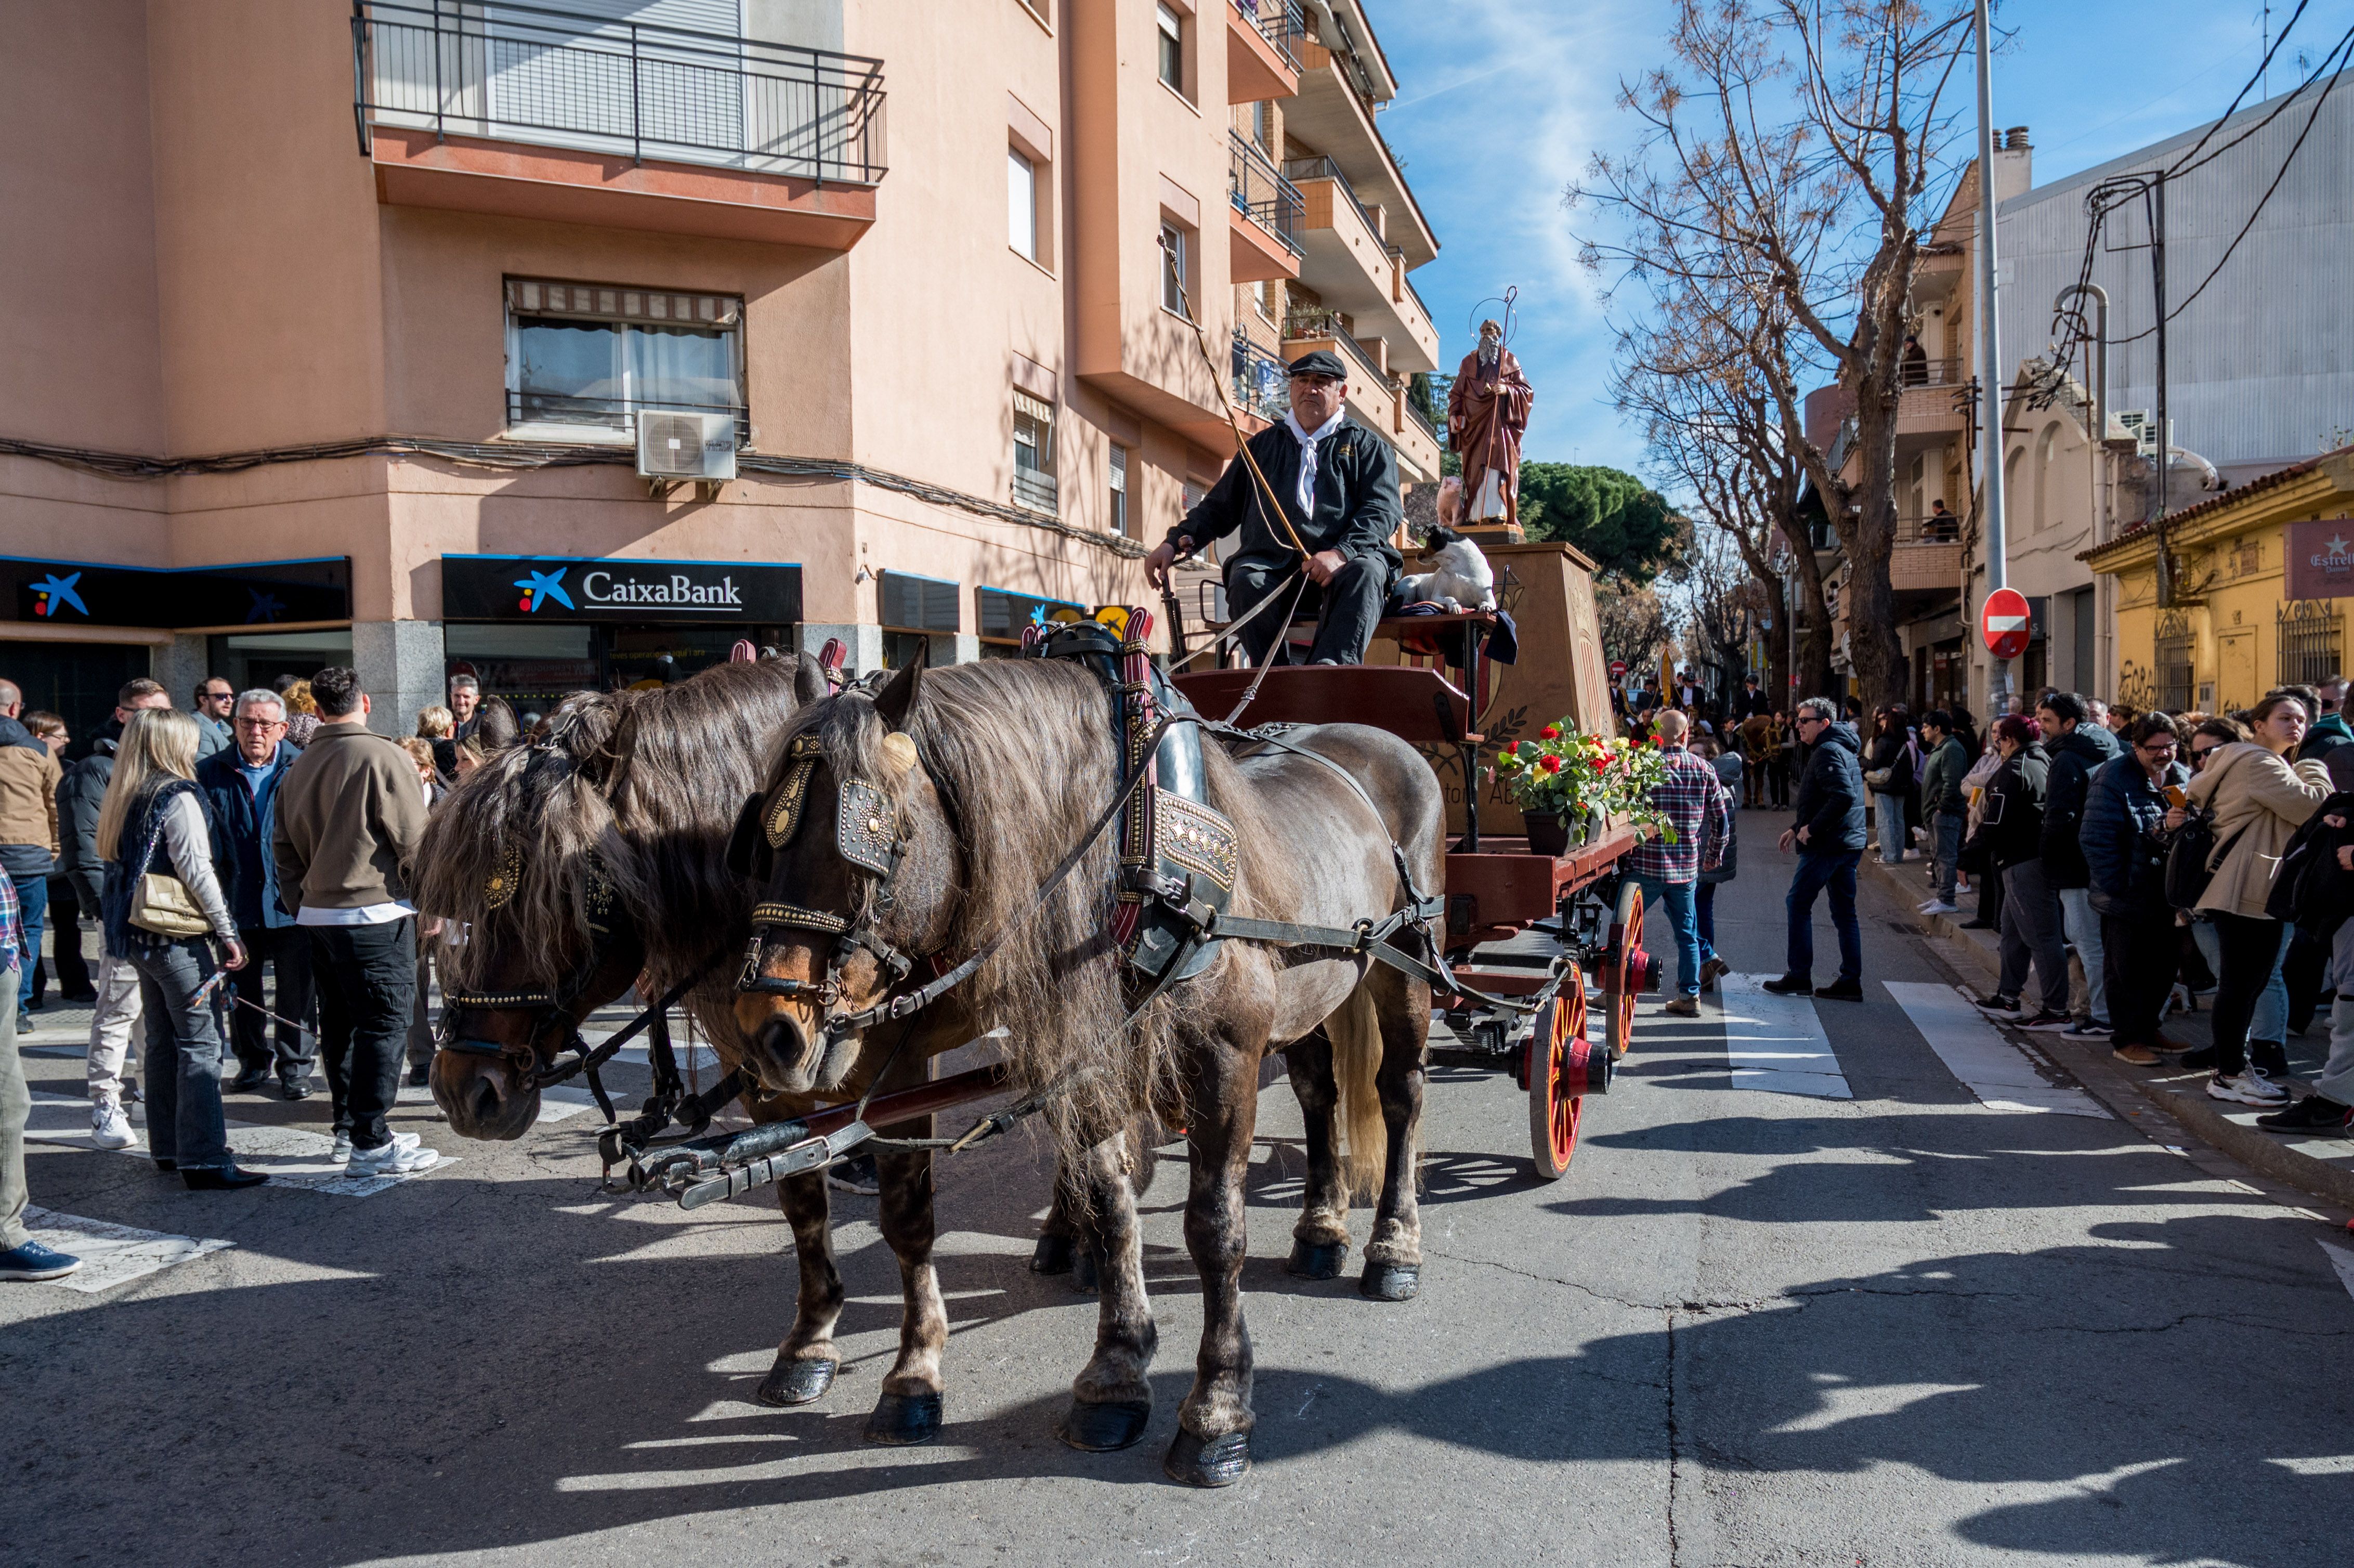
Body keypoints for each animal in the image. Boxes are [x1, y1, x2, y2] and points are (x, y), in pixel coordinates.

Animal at [729, 654, 1431, 1488]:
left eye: (875, 844)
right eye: (761, 844)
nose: (769, 1032)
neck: (1137, 868)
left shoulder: (1226, 1058)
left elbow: (1214, 1228)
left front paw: (1218, 1409)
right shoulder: (1092, 1062)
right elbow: (1113, 1210)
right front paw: (1117, 1372)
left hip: (1407, 966)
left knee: (1400, 1096)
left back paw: (1394, 1247)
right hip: (1319, 990)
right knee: (1320, 1093)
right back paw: (1322, 1228)